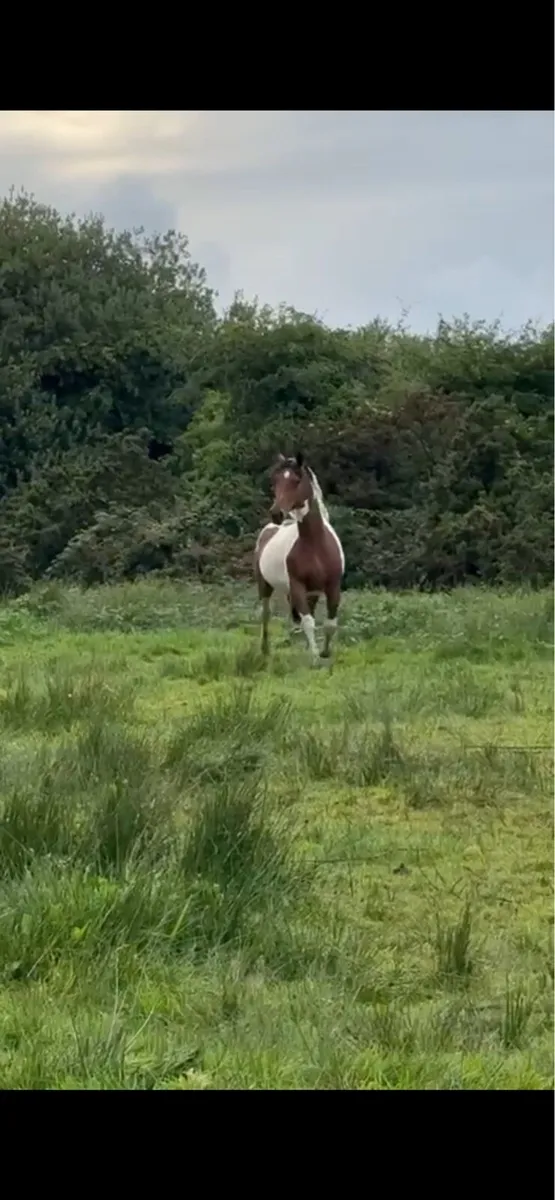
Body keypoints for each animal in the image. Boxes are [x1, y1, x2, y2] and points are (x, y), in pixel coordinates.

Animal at [253, 452, 345, 665]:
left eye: (296, 480)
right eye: (275, 481)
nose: (276, 513)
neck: (316, 544)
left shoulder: (333, 586)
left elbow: (330, 623)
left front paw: (324, 652)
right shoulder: (297, 587)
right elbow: (308, 622)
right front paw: (315, 658)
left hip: (311, 594)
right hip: (265, 585)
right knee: (266, 614)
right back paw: (265, 650)